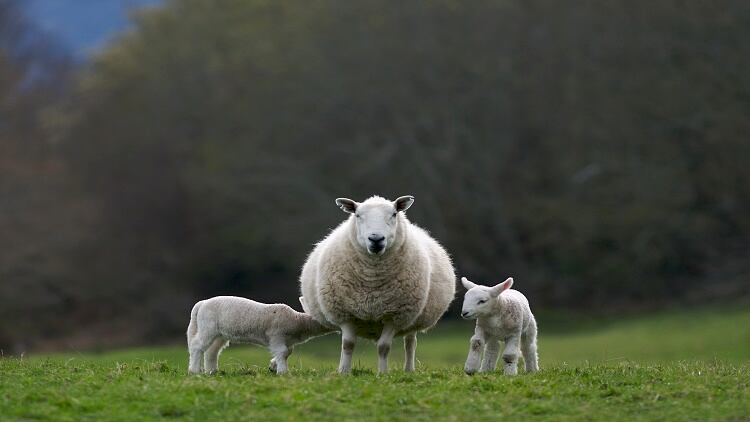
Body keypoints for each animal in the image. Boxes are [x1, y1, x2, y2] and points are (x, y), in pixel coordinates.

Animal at [186, 296, 334, 374]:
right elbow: (282, 352)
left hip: (219, 334)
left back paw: (212, 371)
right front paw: (282, 371)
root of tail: (201, 304)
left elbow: (288, 352)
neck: (298, 321)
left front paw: (273, 366)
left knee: (211, 351)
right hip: (208, 327)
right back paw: (194, 370)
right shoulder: (276, 336)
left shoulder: (287, 341)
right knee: (197, 346)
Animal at [299, 195, 456, 374]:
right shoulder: (345, 314)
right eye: (357, 215)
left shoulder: (394, 316)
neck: (372, 280)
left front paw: (382, 373)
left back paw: (409, 369)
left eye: (394, 214)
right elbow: (347, 345)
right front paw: (344, 372)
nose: (376, 239)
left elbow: (384, 347)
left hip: (412, 318)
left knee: (410, 343)